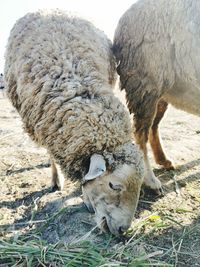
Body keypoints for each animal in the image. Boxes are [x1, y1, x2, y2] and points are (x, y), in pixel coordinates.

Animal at [113, 0, 200, 191]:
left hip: (160, 92)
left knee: (153, 126)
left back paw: (164, 161)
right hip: (146, 83)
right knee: (140, 133)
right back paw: (151, 181)